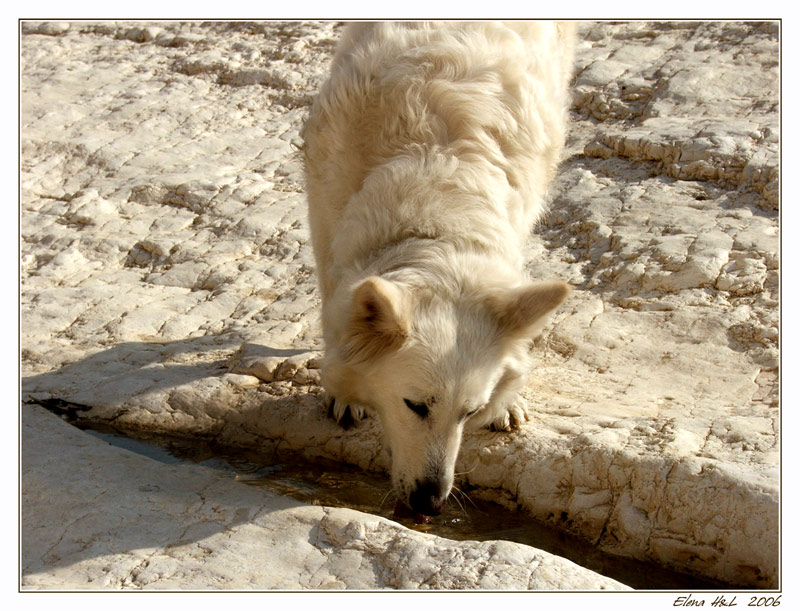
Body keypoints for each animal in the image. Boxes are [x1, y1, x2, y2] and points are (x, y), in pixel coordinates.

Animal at [304, 21, 576, 520]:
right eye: (415, 406)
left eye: (469, 412)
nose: (430, 504)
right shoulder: (326, 213)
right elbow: (335, 302)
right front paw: (344, 392)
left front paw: (508, 403)